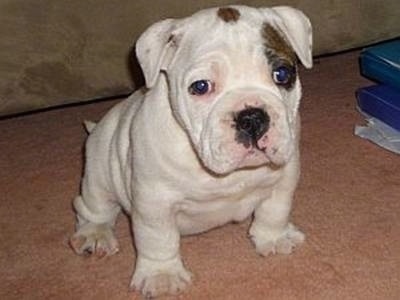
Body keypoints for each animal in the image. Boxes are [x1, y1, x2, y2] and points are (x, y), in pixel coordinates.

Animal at [69, 5, 312, 298]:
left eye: (282, 74)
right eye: (201, 86)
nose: (252, 117)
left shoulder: (283, 178)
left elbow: (275, 209)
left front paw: (274, 238)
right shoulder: (154, 201)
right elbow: (158, 238)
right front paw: (161, 275)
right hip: (99, 175)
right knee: (94, 208)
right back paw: (95, 234)